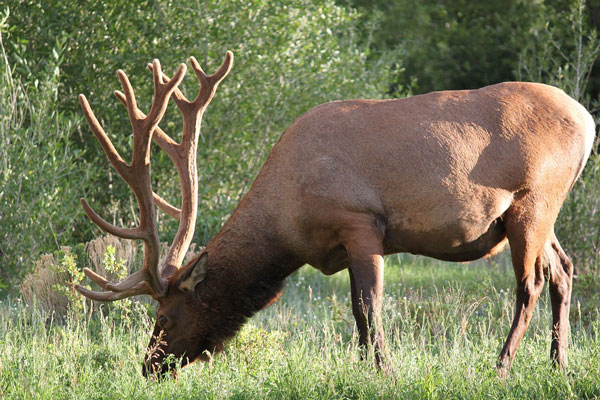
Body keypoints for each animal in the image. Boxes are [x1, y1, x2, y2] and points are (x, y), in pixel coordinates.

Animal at [75, 50, 596, 378]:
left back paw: (501, 367)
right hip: (540, 214)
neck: (287, 226)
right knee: (564, 270)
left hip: (532, 201)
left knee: (530, 283)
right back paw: (560, 364)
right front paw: (367, 368)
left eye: (163, 319)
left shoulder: (360, 221)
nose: (148, 368)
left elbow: (367, 307)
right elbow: (357, 312)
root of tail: (588, 120)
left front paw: (385, 372)